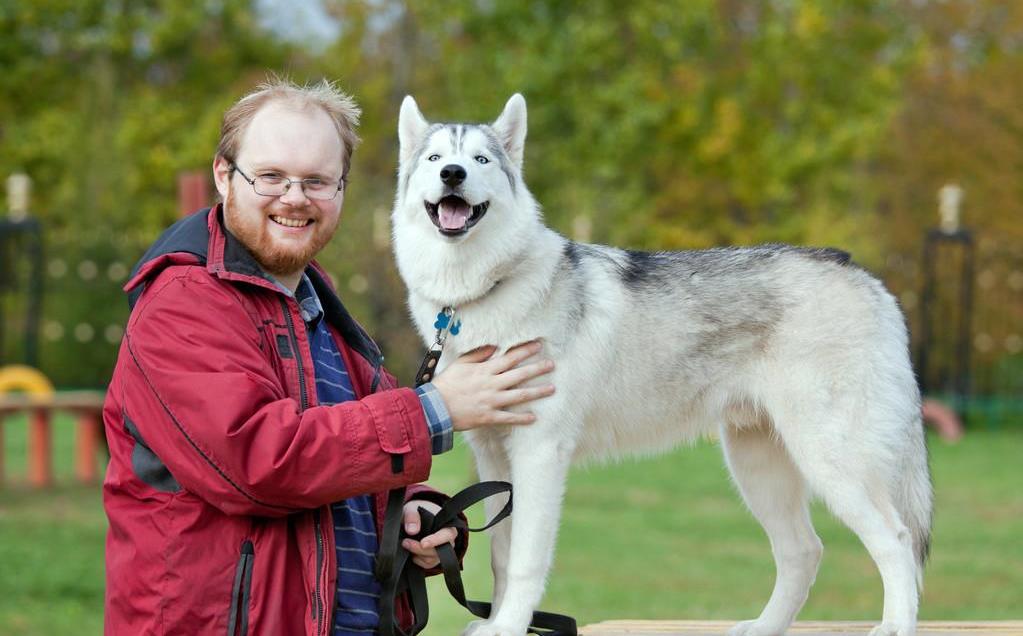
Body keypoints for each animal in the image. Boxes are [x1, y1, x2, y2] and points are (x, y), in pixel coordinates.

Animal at [390, 94, 937, 636]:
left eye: (480, 160)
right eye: (436, 159)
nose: (454, 174)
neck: (476, 297)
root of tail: (866, 277)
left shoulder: (539, 454)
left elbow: (525, 561)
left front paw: (508, 626)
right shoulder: (495, 461)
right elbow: (501, 560)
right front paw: (499, 626)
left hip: (829, 463)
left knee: (897, 541)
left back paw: (895, 626)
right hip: (757, 468)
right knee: (805, 551)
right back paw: (763, 627)